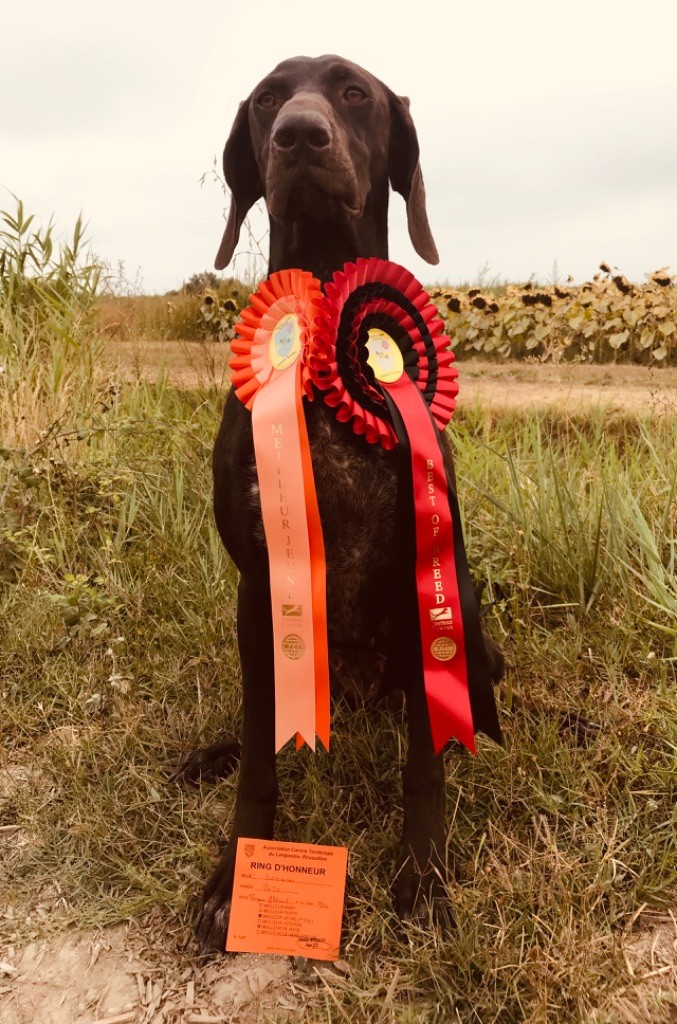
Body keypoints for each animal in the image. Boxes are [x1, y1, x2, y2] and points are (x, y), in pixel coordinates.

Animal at [174, 56, 501, 950]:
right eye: (265, 100)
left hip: (461, 607)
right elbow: (259, 757)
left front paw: (422, 877)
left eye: (354, 93)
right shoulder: (260, 587)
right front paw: (232, 877)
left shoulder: (423, 580)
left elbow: (423, 764)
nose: (298, 135)